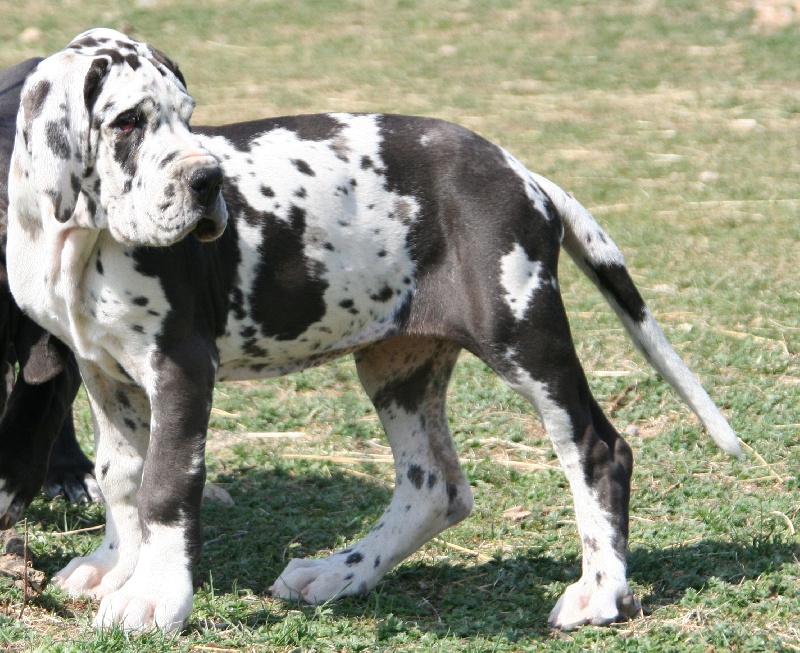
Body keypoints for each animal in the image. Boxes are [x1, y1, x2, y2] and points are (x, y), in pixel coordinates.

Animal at [7, 29, 744, 632]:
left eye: (188, 117)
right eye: (128, 121)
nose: (208, 180)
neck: (81, 242)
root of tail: (522, 173)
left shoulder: (182, 368)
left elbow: (164, 486)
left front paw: (154, 598)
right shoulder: (104, 370)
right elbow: (121, 476)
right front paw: (115, 567)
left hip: (523, 335)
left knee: (597, 449)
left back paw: (600, 592)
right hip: (399, 363)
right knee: (435, 486)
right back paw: (339, 572)